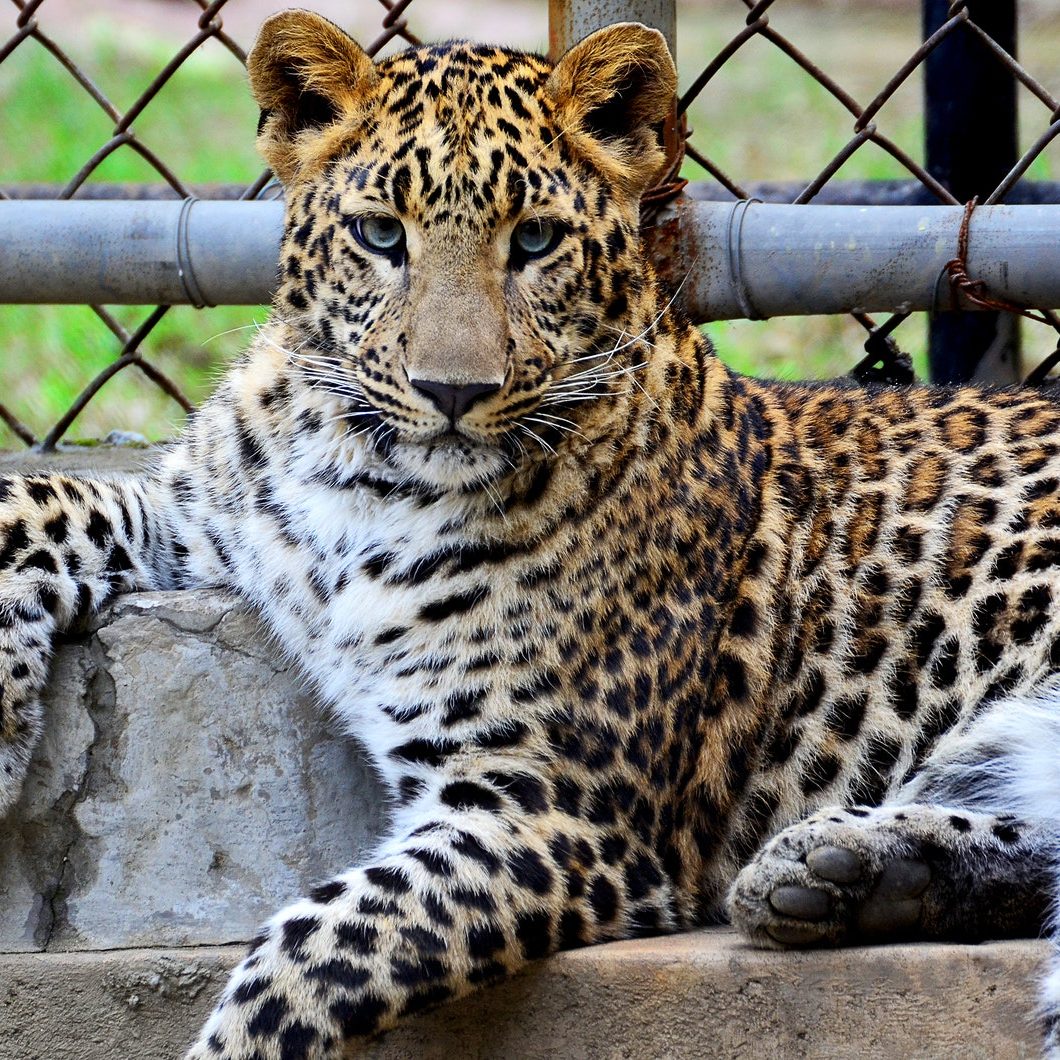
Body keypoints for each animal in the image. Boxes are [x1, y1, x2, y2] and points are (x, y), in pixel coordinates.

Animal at [2, 10, 1060, 1060]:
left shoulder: (554, 813)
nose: (452, 392)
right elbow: (36, 500)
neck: (366, 480)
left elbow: (308, 959)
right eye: (381, 235)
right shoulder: (202, 515)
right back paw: (848, 873)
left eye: (536, 240)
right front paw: (5, 739)